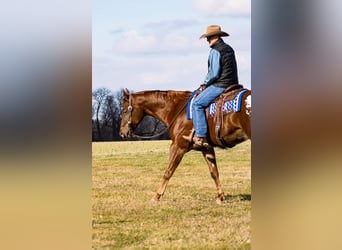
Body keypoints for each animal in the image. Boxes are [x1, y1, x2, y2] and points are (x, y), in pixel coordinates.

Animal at [120, 86, 251, 203]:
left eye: (124, 111)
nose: (122, 133)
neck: (176, 110)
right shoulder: (207, 148)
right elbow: (214, 172)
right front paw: (220, 197)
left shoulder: (178, 147)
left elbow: (168, 171)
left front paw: (157, 196)